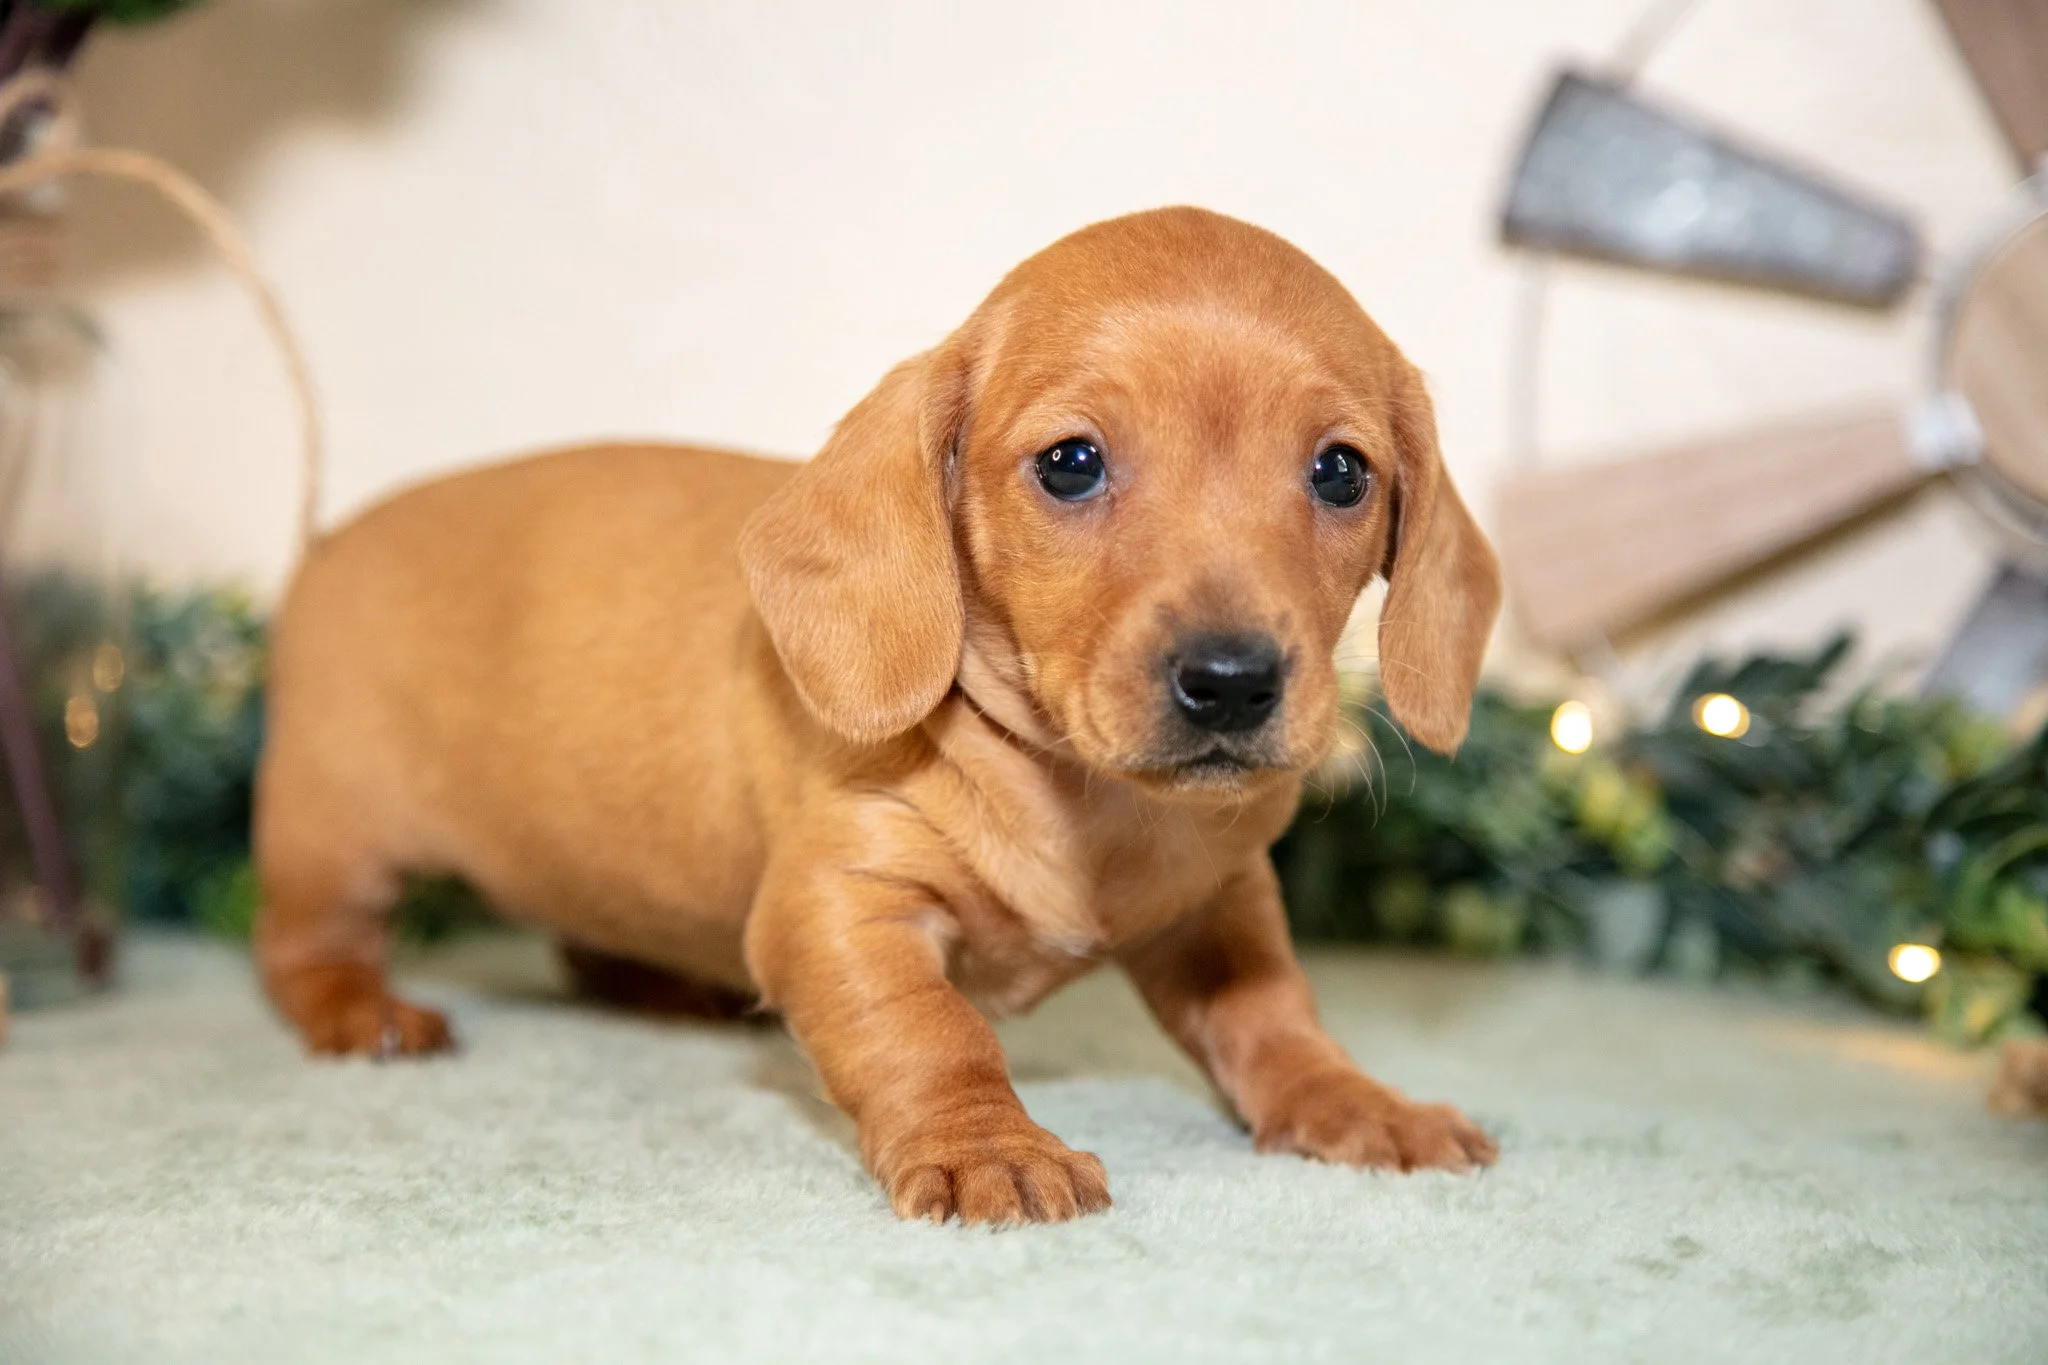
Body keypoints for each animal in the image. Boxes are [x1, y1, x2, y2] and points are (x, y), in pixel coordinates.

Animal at [253, 207, 1503, 1224]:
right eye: (1070, 463)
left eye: (1340, 473)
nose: (1233, 680)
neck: (1080, 801)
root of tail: (328, 543)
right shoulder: (842, 904)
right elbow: (932, 1034)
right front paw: (988, 1148)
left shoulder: (1218, 909)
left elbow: (1272, 1016)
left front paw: (1351, 1100)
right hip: (335, 833)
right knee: (303, 948)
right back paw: (361, 1013)